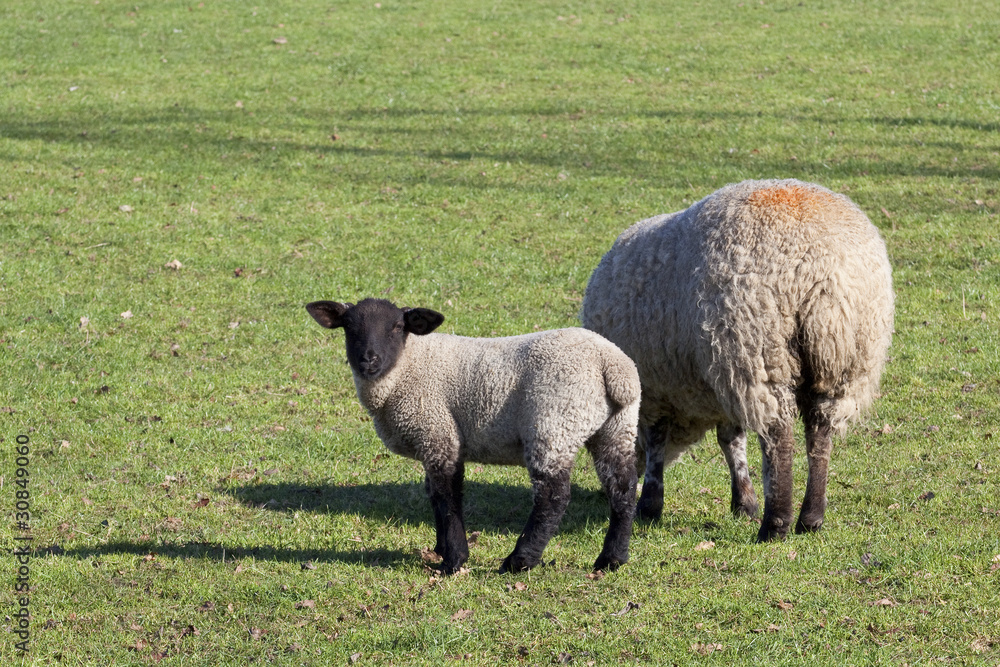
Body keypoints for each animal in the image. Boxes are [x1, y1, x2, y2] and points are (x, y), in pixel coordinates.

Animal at [306, 298, 641, 574]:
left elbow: (448, 497)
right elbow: (433, 495)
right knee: (623, 488)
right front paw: (440, 548)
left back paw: (519, 561)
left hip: (553, 423)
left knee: (553, 498)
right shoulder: (435, 440)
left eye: (397, 327)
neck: (407, 365)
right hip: (616, 427)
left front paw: (453, 560)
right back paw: (611, 559)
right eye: (349, 327)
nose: (369, 360)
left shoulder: (438, 433)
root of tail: (612, 366)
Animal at [580, 179, 894, 542]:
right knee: (820, 433)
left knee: (778, 438)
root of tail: (819, 265)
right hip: (844, 358)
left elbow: (660, 443)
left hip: (757, 347)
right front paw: (743, 502)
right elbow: (731, 440)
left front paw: (649, 506)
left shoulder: (657, 387)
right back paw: (810, 518)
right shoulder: (719, 388)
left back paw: (775, 524)